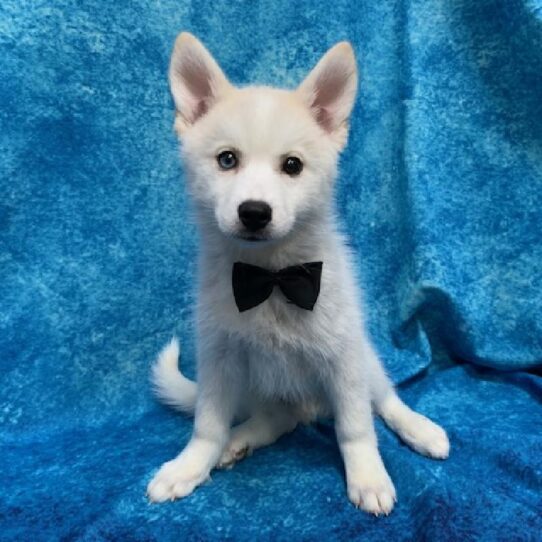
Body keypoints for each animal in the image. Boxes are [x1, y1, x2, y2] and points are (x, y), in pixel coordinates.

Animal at [147, 34, 448, 520]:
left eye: (292, 166)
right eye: (226, 160)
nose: (254, 212)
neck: (271, 275)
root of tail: (310, 408)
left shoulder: (344, 360)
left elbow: (355, 427)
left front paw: (368, 476)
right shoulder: (219, 360)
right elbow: (207, 424)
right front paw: (191, 465)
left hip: (366, 359)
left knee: (384, 399)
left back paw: (419, 428)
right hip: (257, 390)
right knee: (276, 419)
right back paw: (238, 441)